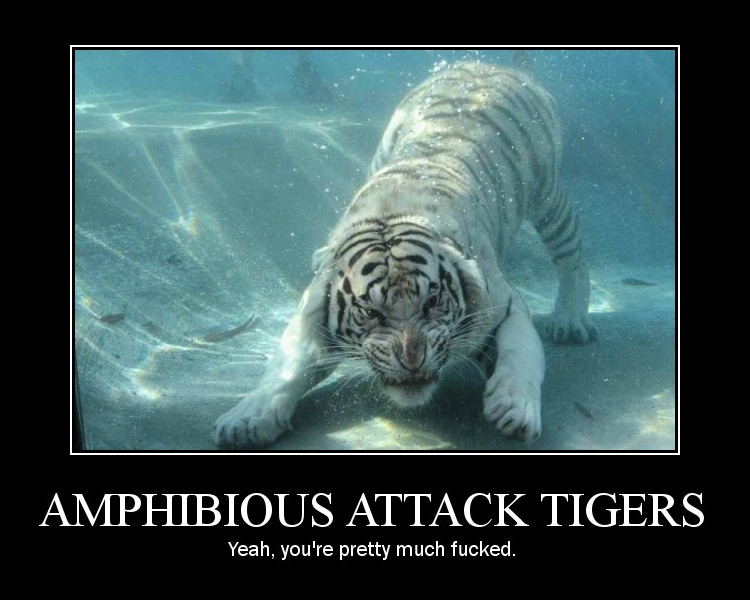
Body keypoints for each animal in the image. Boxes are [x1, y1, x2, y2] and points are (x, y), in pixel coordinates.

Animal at [213, 61, 596, 448]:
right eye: (371, 312)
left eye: (433, 302)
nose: (413, 360)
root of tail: (484, 64)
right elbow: (285, 368)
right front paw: (246, 419)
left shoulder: (505, 307)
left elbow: (521, 355)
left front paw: (514, 409)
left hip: (547, 195)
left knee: (572, 254)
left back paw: (569, 320)